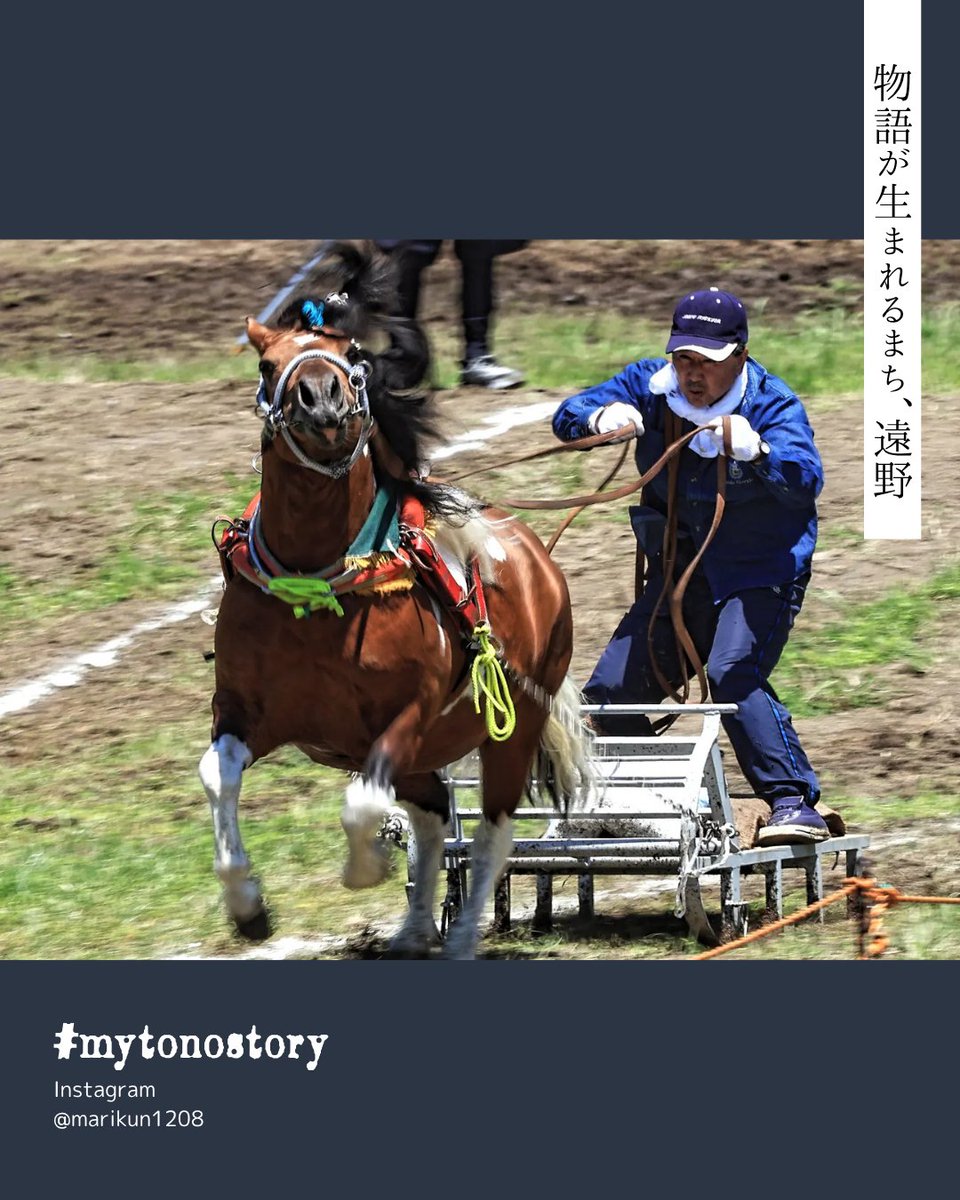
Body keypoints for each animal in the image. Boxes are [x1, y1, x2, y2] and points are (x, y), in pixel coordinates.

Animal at [199, 242, 593, 959]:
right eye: (268, 365)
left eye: (351, 353)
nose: (320, 397)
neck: (315, 588)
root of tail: (534, 554)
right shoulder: (242, 709)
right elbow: (220, 777)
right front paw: (247, 907)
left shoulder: (407, 714)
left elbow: (362, 806)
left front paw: (366, 868)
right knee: (433, 812)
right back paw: (412, 930)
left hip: (512, 727)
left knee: (492, 829)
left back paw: (460, 938)